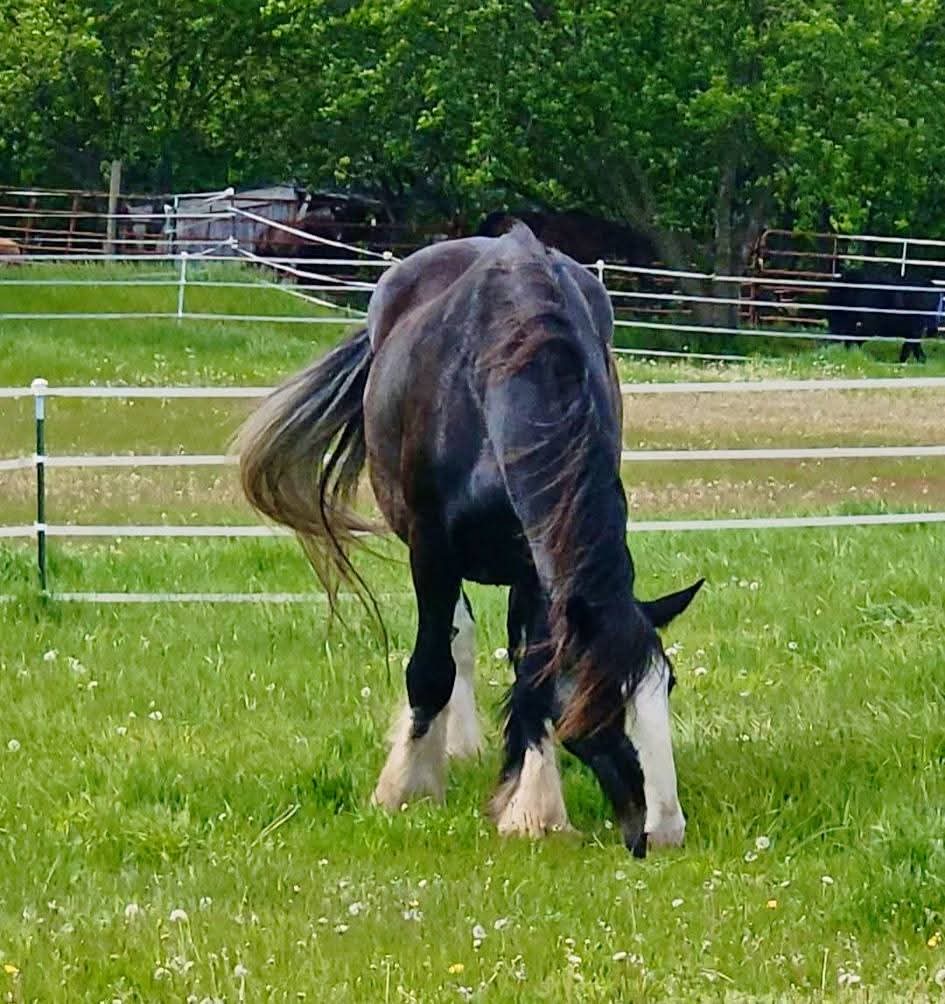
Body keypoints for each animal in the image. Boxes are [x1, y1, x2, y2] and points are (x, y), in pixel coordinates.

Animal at [238, 225, 703, 857]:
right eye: (602, 701)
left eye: (668, 687)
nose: (664, 832)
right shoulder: (431, 550)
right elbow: (431, 667)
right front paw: (405, 788)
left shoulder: (537, 567)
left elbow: (534, 677)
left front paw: (530, 807)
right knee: (454, 639)